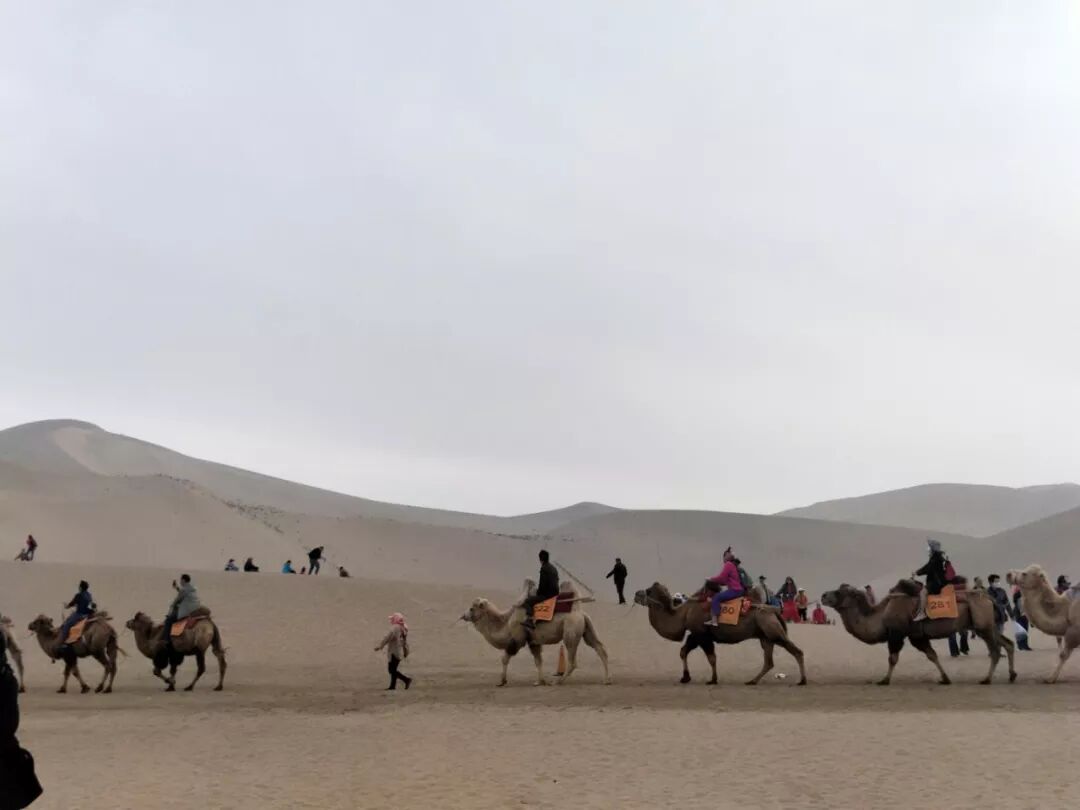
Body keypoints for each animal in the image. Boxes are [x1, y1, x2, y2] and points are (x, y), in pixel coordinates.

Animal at [461, 583, 611, 686]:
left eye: (472, 608)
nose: (464, 615)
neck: (506, 622)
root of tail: (580, 613)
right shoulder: (533, 641)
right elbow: (538, 661)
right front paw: (540, 681)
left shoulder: (517, 638)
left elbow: (505, 658)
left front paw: (502, 681)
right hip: (586, 628)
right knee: (599, 648)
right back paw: (606, 680)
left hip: (571, 630)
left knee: (573, 659)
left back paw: (558, 681)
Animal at [634, 583, 807, 685]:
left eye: (648, 591)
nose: (636, 593)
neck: (683, 613)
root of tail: (774, 611)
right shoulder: (696, 635)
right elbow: (683, 651)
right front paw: (685, 677)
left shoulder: (701, 634)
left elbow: (711, 657)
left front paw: (713, 679)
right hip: (765, 636)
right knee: (769, 661)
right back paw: (752, 681)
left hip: (772, 631)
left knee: (796, 651)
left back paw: (802, 680)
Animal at [822, 581, 1016, 685]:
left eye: (840, 592)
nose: (823, 596)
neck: (881, 615)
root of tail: (989, 597)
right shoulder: (917, 636)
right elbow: (932, 655)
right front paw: (945, 678)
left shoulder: (897, 634)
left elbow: (893, 658)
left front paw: (884, 680)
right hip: (989, 626)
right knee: (1008, 643)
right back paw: (1012, 675)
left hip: (983, 626)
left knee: (995, 651)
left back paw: (986, 679)